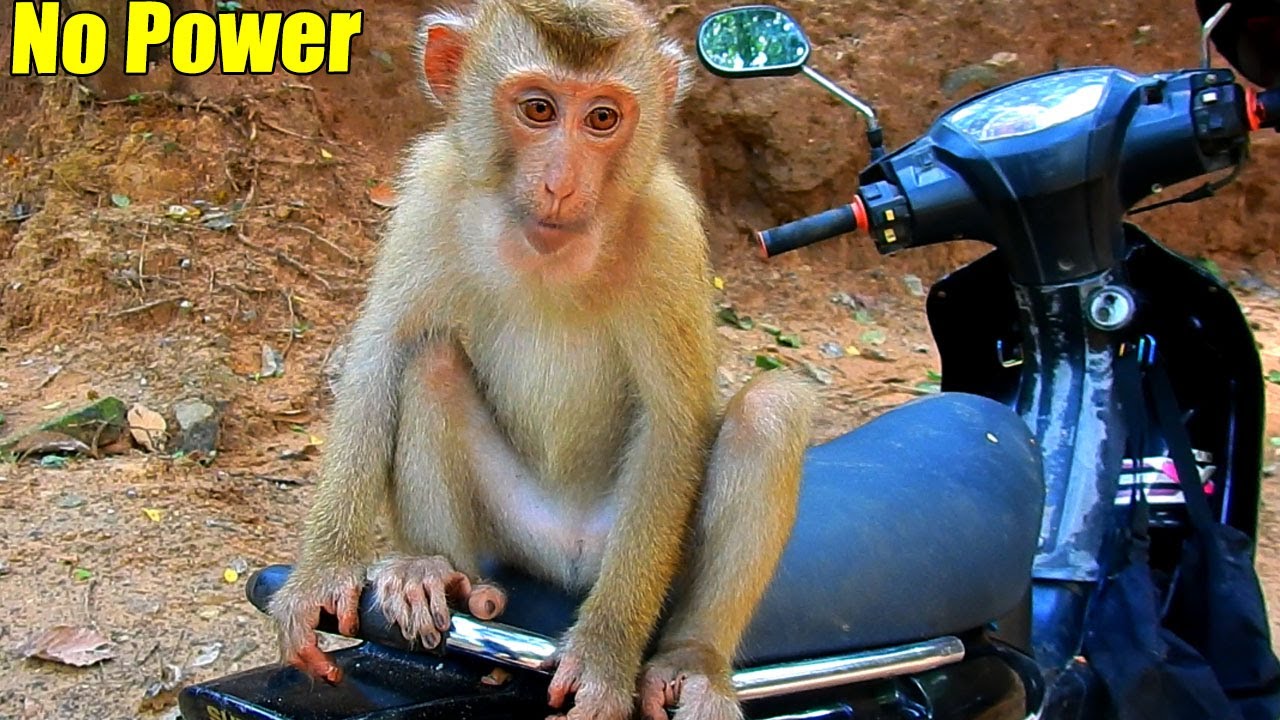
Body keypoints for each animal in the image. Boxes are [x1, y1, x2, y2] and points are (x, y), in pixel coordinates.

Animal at [266, 1, 815, 719]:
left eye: (602, 119)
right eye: (537, 109)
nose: (561, 183)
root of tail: (570, 556)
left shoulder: (669, 229)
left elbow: (672, 425)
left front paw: (606, 658)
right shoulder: (432, 190)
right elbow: (383, 354)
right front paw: (321, 576)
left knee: (770, 412)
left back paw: (694, 661)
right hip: (518, 534)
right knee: (429, 362)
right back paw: (438, 576)